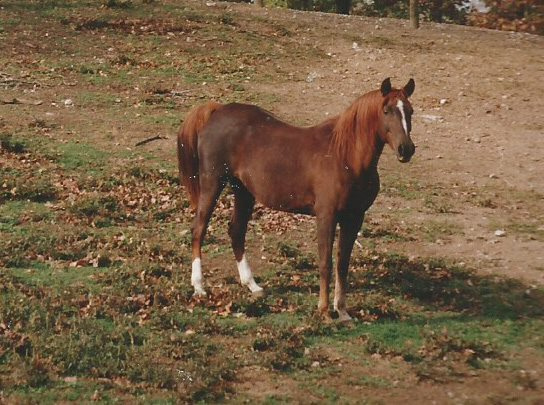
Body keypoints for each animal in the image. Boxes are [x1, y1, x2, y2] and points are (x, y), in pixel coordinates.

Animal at [178, 77, 416, 320]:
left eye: (410, 111)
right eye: (386, 110)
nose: (406, 149)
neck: (346, 157)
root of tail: (217, 110)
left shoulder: (354, 218)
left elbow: (342, 264)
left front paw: (342, 311)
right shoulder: (326, 216)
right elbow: (325, 262)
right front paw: (324, 310)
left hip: (243, 191)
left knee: (236, 231)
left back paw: (252, 285)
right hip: (212, 183)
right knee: (199, 229)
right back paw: (199, 286)